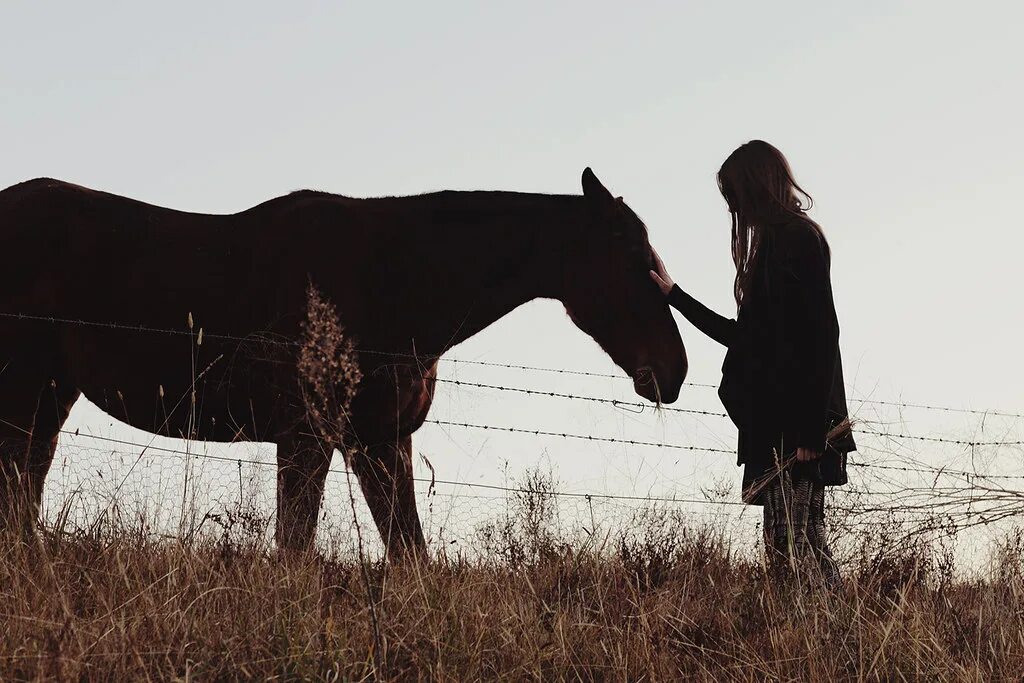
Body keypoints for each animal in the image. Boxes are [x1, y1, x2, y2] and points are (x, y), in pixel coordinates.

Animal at [2, 167, 688, 557]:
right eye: (631, 256)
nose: (673, 370)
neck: (395, 280)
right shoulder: (308, 436)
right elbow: (295, 549)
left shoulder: (381, 439)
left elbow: (409, 554)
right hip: (26, 391)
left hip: (49, 396)